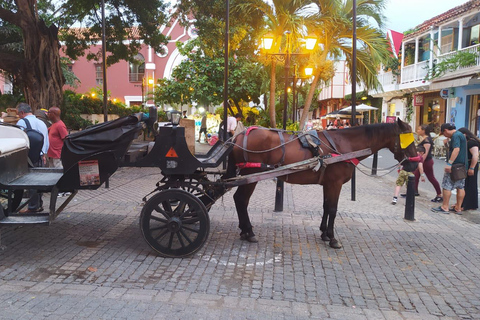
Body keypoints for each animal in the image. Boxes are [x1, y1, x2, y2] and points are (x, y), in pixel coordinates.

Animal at [225, 119, 416, 249]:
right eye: (409, 140)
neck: (345, 145)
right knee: (241, 200)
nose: (415, 162)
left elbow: (325, 207)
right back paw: (249, 231)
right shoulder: (335, 184)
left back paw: (245, 230)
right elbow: (332, 209)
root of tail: (239, 136)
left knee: (239, 200)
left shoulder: (328, 184)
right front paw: (332, 238)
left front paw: (324, 233)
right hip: (251, 176)